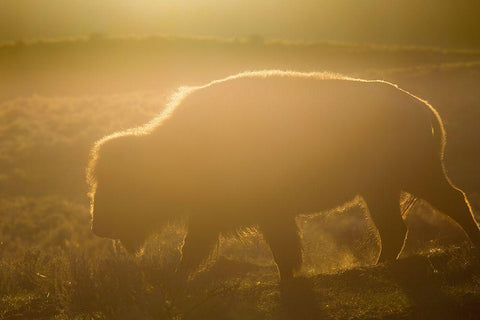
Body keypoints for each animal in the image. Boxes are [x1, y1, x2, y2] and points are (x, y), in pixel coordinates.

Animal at [87, 70, 480, 280]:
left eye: (121, 184)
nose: (98, 226)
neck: (175, 149)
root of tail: (419, 105)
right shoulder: (216, 215)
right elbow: (197, 249)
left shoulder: (265, 212)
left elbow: (276, 247)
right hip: (381, 190)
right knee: (398, 226)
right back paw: (379, 265)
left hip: (412, 178)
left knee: (450, 203)